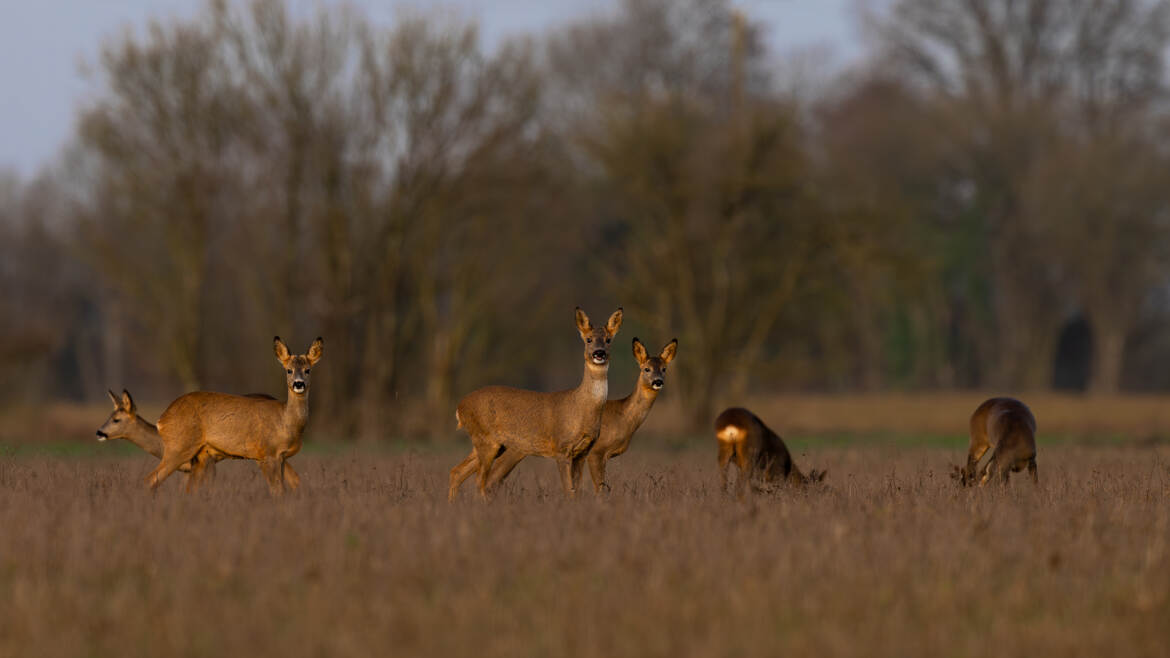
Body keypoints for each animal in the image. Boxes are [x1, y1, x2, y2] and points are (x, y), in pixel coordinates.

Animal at [150, 332, 325, 491]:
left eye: (308, 370)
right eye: (289, 370)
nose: (298, 384)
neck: (286, 422)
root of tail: (161, 420)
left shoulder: (281, 457)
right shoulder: (268, 454)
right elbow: (278, 491)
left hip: (197, 455)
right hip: (178, 446)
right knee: (152, 478)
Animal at [446, 306, 622, 496]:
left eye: (608, 339)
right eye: (588, 339)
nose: (599, 353)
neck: (581, 408)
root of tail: (460, 407)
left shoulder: (582, 452)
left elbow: (576, 490)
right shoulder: (561, 447)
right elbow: (568, 490)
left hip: (490, 444)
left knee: (457, 472)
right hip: (485, 439)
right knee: (479, 480)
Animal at [449, 334, 683, 494]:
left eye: (664, 369)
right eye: (646, 369)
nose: (658, 382)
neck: (623, 418)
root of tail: (460, 407)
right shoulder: (596, 452)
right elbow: (600, 489)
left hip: (494, 446)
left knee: (458, 472)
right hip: (510, 448)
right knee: (489, 479)